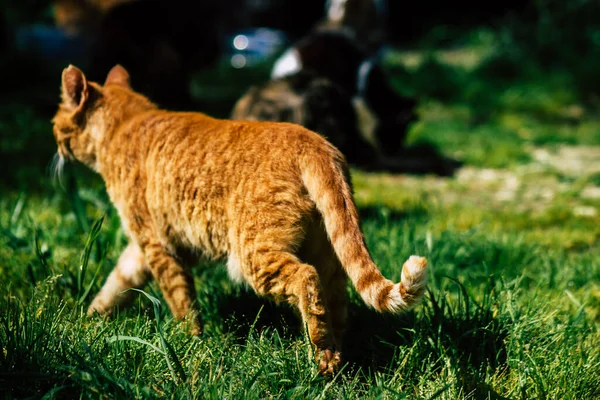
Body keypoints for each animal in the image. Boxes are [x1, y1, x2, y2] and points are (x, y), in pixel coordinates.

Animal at [50, 63, 426, 376]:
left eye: (55, 124)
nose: (56, 149)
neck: (126, 124)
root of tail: (314, 142)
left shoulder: (157, 244)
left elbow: (180, 300)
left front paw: (189, 341)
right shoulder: (142, 248)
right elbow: (117, 281)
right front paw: (91, 317)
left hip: (252, 258)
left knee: (306, 279)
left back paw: (320, 356)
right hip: (327, 250)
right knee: (337, 299)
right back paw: (335, 357)